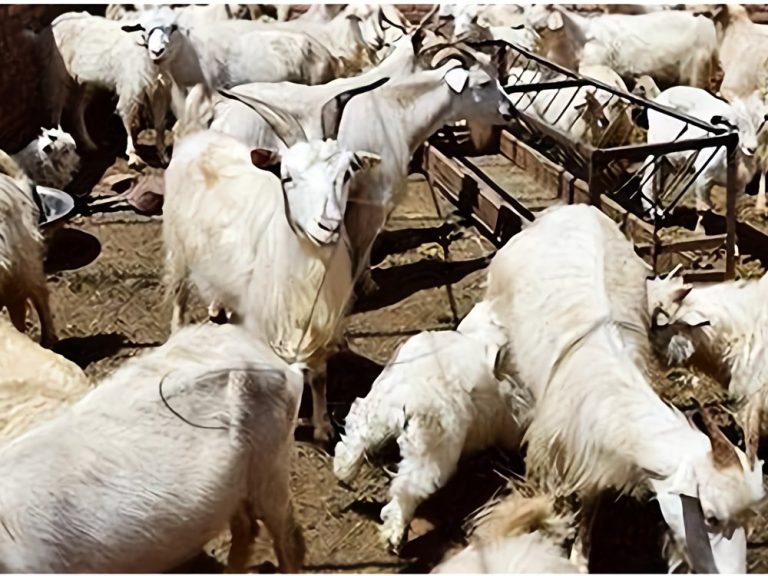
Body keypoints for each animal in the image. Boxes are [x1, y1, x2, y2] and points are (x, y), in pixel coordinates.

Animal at [49, 12, 167, 166]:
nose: (158, 51)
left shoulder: (152, 87)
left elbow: (158, 121)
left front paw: (163, 155)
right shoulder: (131, 88)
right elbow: (128, 117)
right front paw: (134, 156)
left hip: (84, 83)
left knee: (76, 112)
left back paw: (90, 145)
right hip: (58, 77)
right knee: (56, 109)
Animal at [163, 85, 381, 442]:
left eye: (347, 173)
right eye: (287, 176)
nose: (329, 225)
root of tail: (197, 136)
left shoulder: (317, 318)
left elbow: (319, 375)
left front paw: (322, 427)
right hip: (178, 247)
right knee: (179, 294)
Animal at [333, 301, 534, 550]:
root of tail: (409, 390)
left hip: (377, 411)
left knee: (356, 429)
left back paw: (344, 469)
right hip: (431, 457)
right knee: (405, 491)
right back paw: (394, 534)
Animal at [485, 204, 764, 573]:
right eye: (711, 517)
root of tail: (577, 207)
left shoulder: (595, 455)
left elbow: (590, 504)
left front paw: (579, 557)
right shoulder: (553, 454)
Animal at [639, 86, 768, 230]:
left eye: (758, 124)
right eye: (735, 126)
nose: (752, 148)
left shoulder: (735, 188)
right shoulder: (703, 179)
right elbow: (704, 206)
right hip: (656, 148)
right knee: (648, 180)